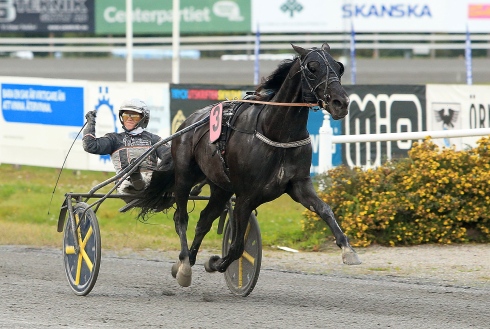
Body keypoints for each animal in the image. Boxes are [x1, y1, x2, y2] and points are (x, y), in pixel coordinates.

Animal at [138, 42, 360, 286]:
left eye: (338, 67)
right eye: (312, 68)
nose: (341, 103)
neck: (276, 132)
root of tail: (188, 121)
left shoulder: (299, 185)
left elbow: (325, 209)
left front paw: (348, 249)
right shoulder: (245, 196)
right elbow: (237, 247)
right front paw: (217, 262)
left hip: (220, 187)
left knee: (204, 220)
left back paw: (187, 259)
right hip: (185, 176)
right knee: (181, 218)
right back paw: (185, 265)